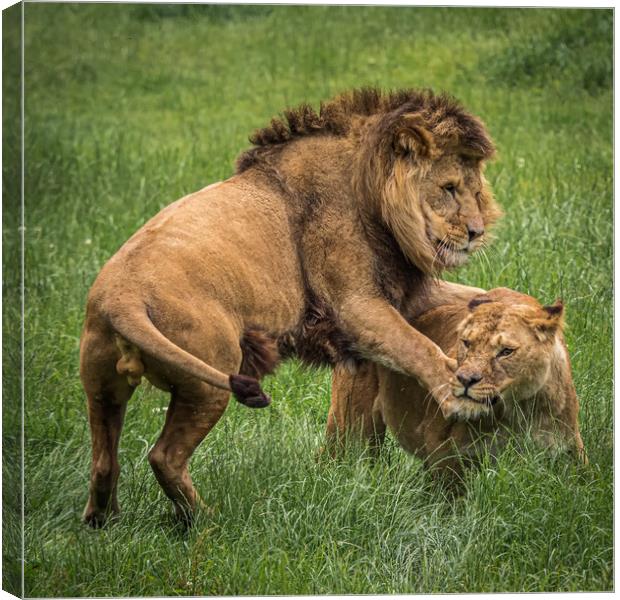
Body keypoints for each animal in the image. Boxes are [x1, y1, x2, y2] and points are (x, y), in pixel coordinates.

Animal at [80, 89, 502, 524]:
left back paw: (104, 522)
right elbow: (418, 347)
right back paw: (207, 521)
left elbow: (476, 294)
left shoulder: (400, 296)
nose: (476, 232)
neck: (368, 189)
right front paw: (459, 395)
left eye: (475, 192)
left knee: (105, 460)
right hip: (208, 380)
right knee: (164, 457)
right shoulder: (355, 306)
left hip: (103, 385)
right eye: (449, 188)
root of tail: (121, 299)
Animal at [330, 284, 588, 472]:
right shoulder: (448, 450)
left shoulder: (569, 447)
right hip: (352, 429)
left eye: (506, 351)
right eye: (466, 342)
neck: (518, 410)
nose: (465, 379)